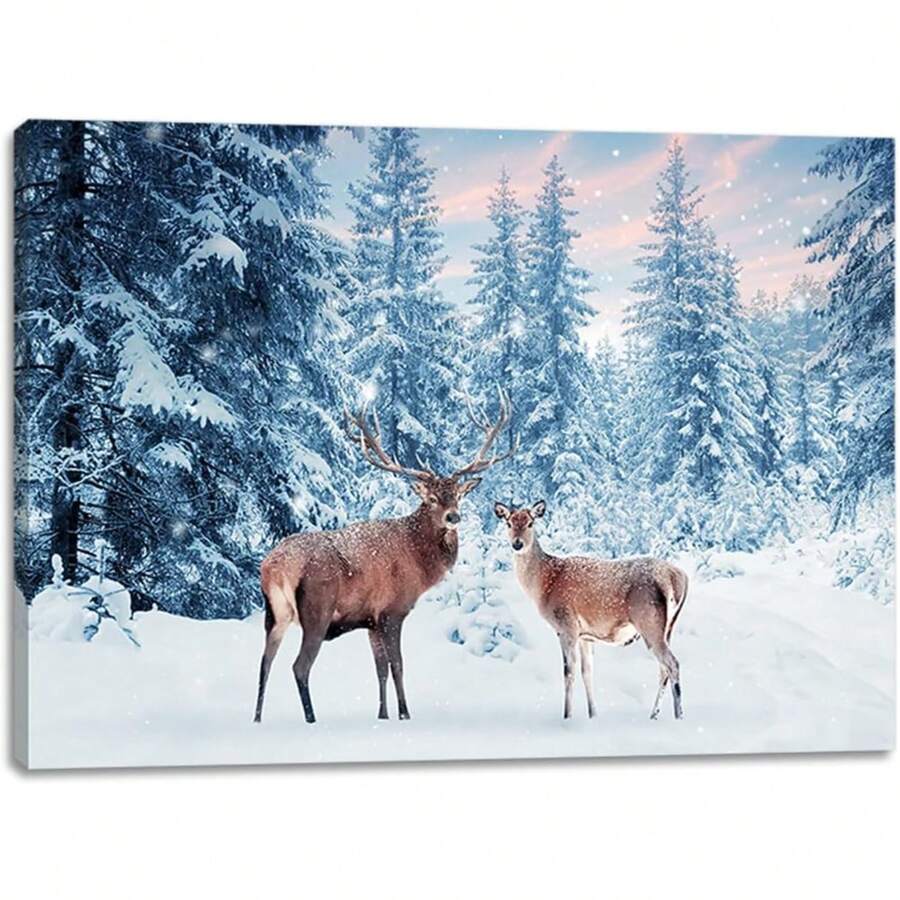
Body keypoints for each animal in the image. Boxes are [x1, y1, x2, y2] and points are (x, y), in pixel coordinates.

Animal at [253, 390, 516, 724]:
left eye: (457, 495)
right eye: (432, 498)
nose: (453, 517)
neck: (420, 563)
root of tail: (274, 566)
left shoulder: (371, 619)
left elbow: (379, 669)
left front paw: (382, 715)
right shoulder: (393, 611)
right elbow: (398, 666)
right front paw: (404, 713)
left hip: (275, 614)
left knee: (264, 662)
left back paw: (257, 718)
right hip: (317, 609)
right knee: (299, 666)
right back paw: (311, 720)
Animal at [494, 500, 689, 721]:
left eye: (530, 523)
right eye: (509, 523)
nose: (517, 544)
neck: (544, 585)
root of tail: (678, 577)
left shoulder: (566, 625)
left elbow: (569, 672)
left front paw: (567, 716)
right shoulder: (585, 635)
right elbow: (587, 673)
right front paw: (593, 715)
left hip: (649, 622)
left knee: (672, 664)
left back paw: (679, 716)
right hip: (668, 628)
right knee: (663, 669)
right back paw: (654, 715)